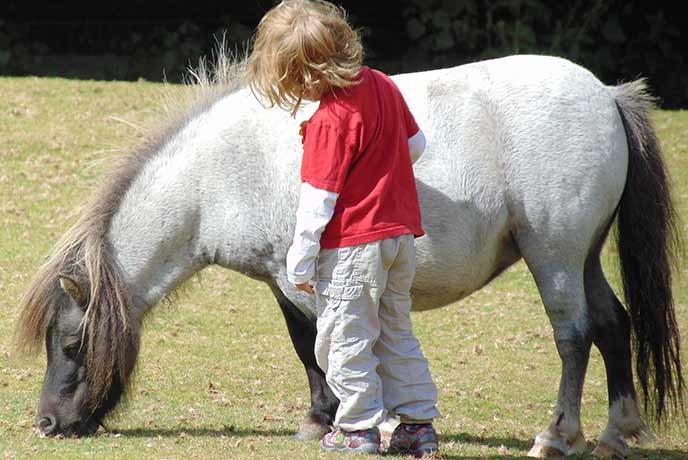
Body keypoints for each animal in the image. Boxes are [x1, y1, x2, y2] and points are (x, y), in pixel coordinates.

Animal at [17, 54, 684, 460]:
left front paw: (331, 421)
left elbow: (316, 348)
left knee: (574, 336)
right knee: (612, 325)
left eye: (72, 344)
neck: (219, 173)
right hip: (583, 258)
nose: (46, 424)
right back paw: (615, 433)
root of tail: (607, 94)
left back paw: (557, 435)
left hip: (555, 258)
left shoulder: (296, 281)